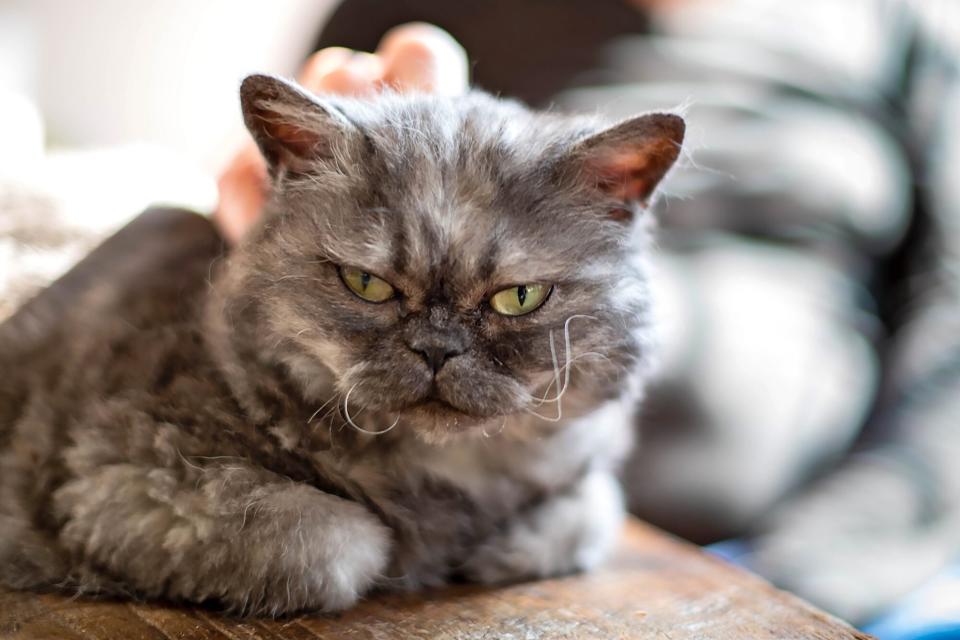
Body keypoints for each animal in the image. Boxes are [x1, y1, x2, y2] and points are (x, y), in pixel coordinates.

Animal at [0, 74, 684, 616]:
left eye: (519, 297)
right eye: (366, 283)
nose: (437, 349)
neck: (443, 475)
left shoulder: (585, 467)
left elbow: (591, 510)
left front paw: (498, 549)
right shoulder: (117, 479)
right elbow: (345, 540)